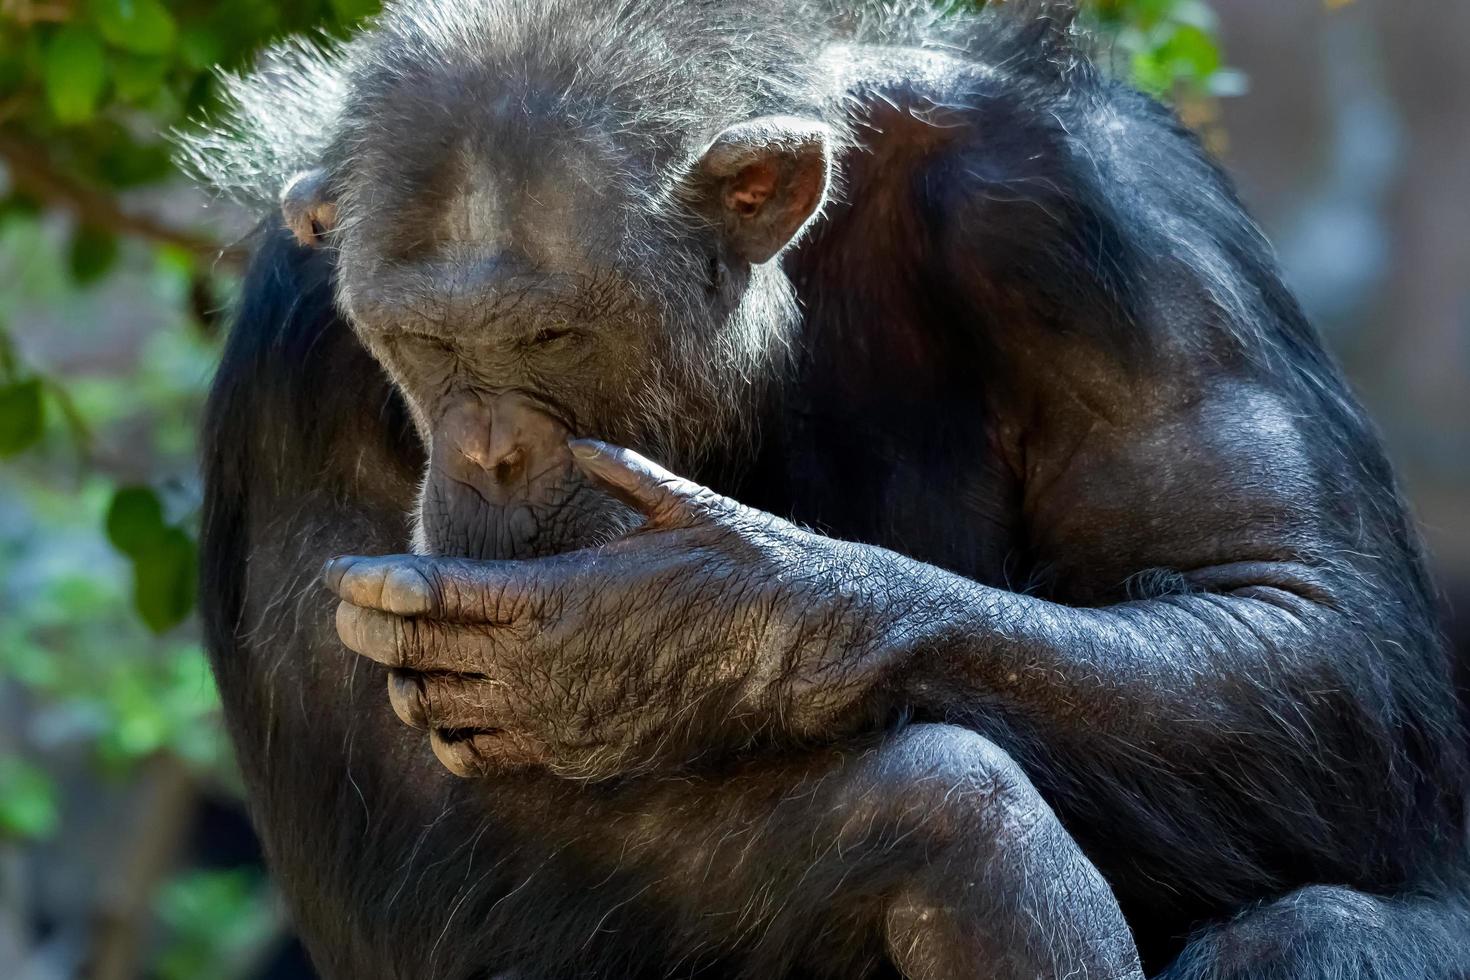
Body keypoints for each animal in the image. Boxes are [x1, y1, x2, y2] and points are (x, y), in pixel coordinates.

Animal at [183, 1, 1470, 980]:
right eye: (426, 344)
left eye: (550, 337)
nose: (488, 451)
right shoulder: (293, 357)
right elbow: (402, 828)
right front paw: (962, 838)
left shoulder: (1098, 210)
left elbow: (1296, 613)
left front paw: (684, 634)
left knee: (1328, 924)